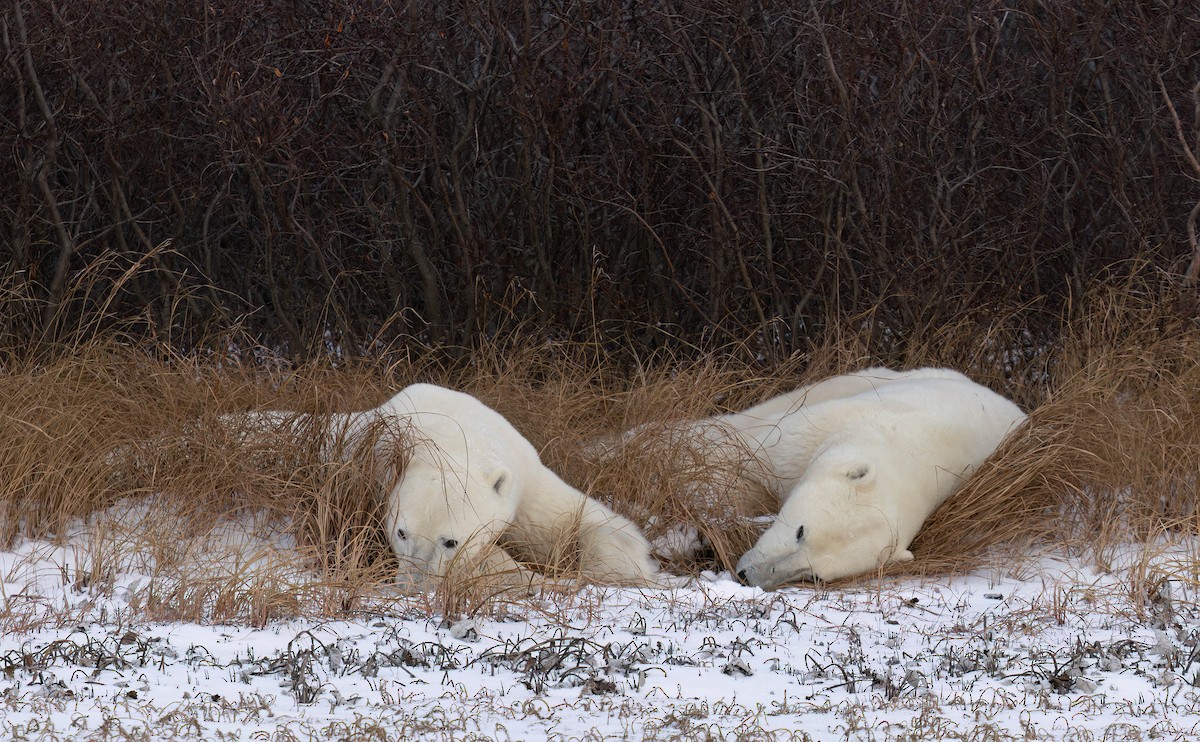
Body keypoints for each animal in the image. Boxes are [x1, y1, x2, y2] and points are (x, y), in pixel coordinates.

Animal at [230, 384, 661, 586]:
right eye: (401, 532)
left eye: (450, 540)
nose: (414, 584)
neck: (449, 435)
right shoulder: (362, 482)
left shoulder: (522, 471)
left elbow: (570, 516)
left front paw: (622, 566)